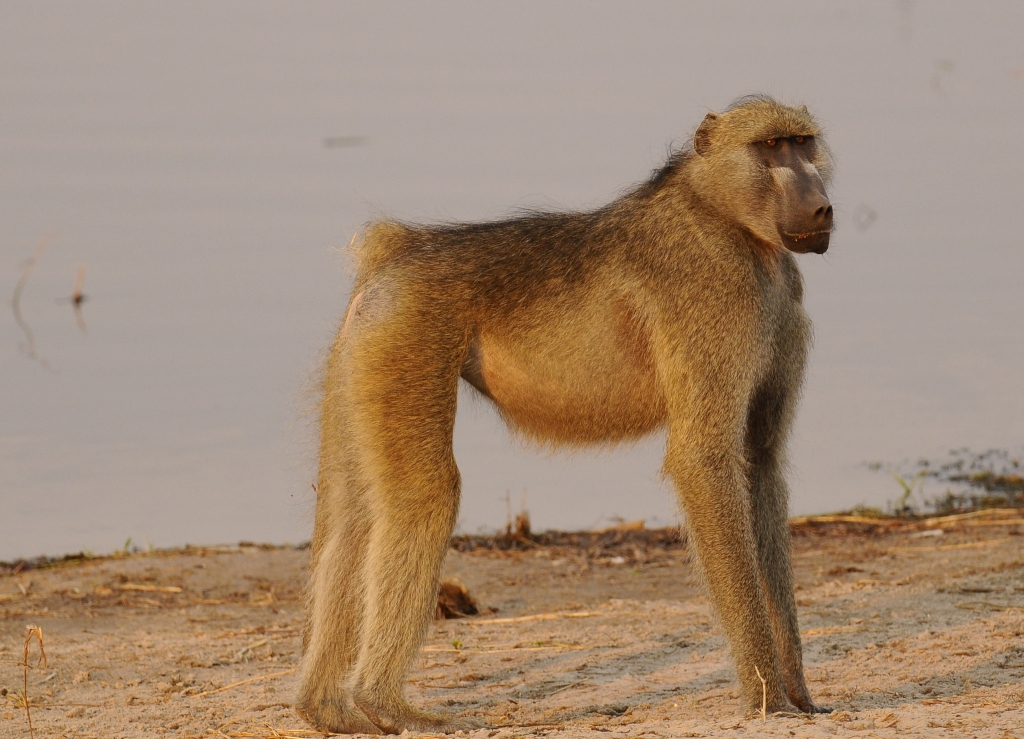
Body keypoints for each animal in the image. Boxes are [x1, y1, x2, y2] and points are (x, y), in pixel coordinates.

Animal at [296, 95, 835, 734]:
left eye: (803, 143)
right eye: (770, 148)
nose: (821, 206)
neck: (724, 214)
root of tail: (400, 251)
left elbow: (761, 462)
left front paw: (798, 691)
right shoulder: (713, 295)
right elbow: (705, 462)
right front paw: (766, 696)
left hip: (361, 352)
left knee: (353, 516)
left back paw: (326, 710)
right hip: (403, 337)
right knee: (424, 495)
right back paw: (384, 704)